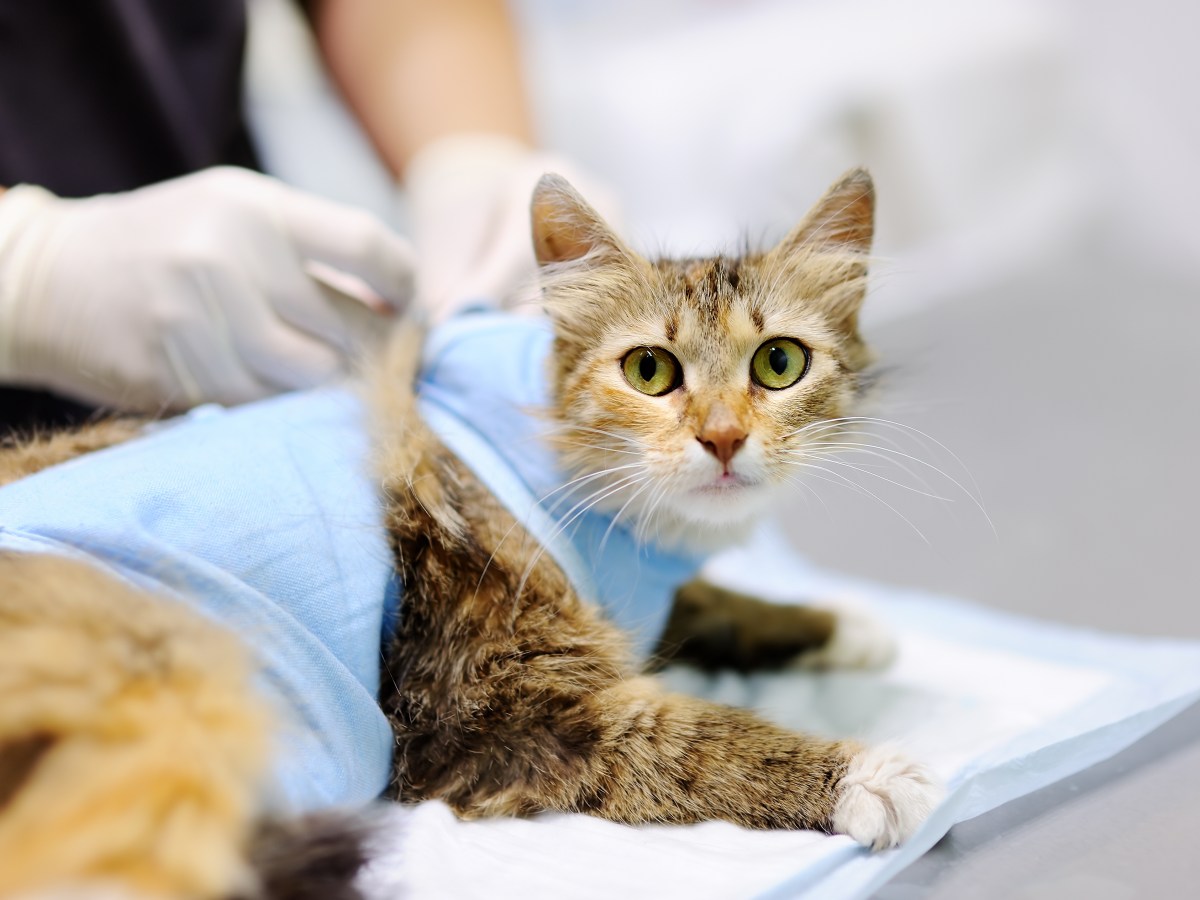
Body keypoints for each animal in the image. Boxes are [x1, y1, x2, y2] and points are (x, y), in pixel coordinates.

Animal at [0, 170, 936, 900]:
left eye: (779, 364)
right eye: (650, 371)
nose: (724, 439)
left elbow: (715, 604)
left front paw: (839, 626)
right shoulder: (491, 714)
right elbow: (699, 741)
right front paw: (870, 776)